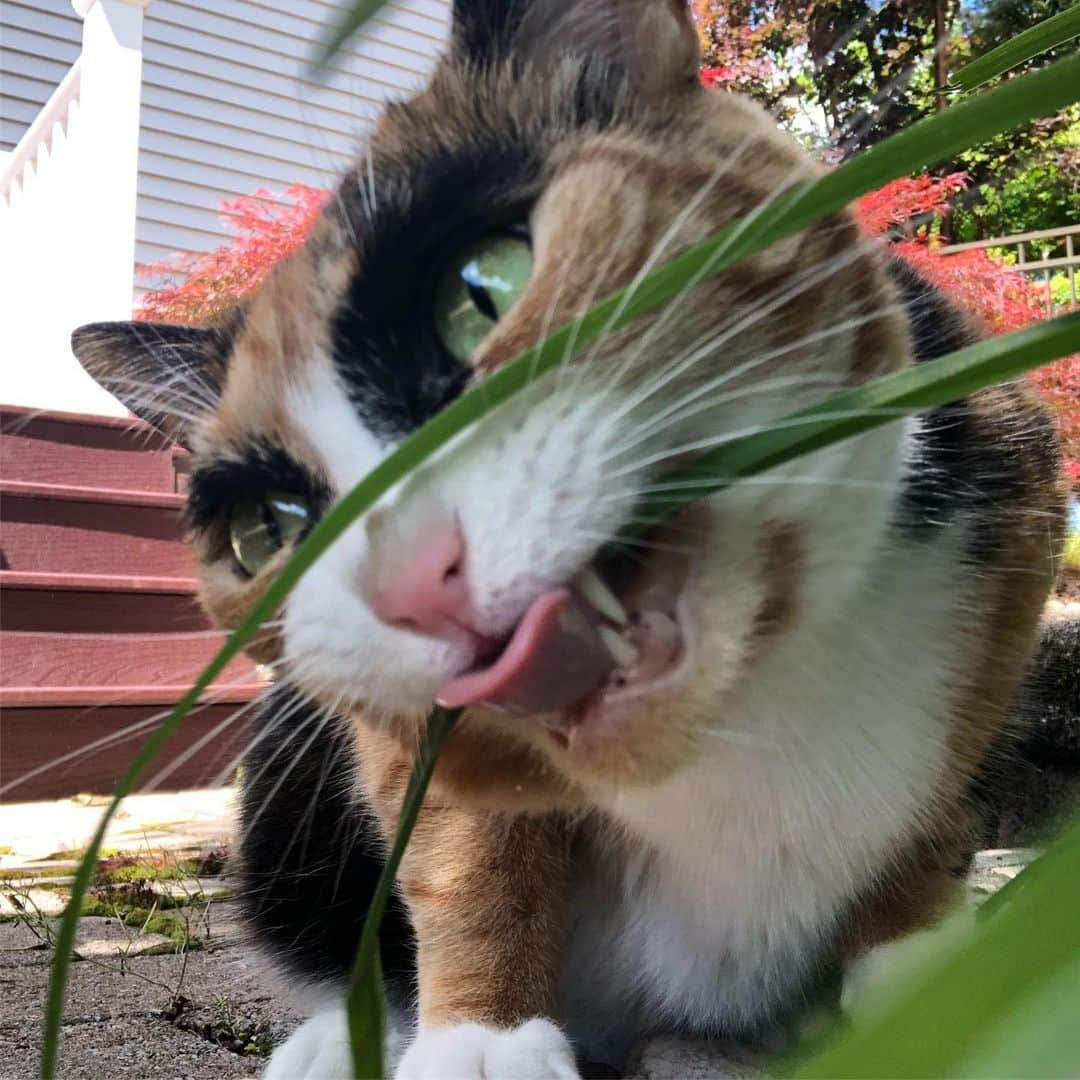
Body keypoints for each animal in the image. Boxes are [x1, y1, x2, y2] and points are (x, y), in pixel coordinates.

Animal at [71, 0, 1067, 1075]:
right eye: (271, 529)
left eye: (486, 291)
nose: (413, 579)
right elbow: (467, 846)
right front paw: (482, 1038)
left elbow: (935, 802)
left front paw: (934, 981)